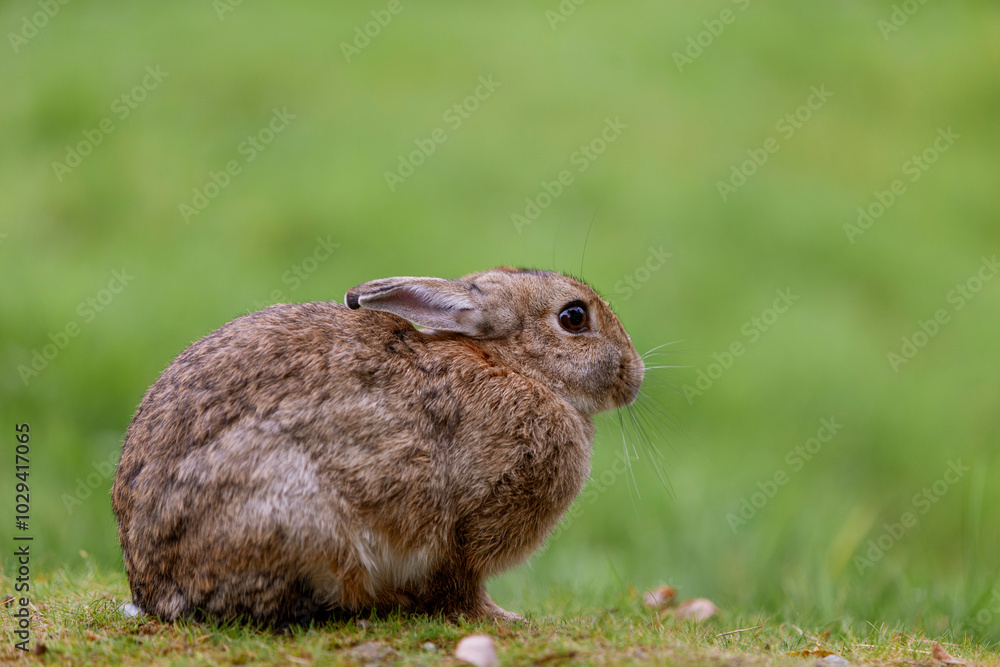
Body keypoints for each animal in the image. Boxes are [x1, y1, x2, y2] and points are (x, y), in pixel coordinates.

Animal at [111, 266, 644, 626]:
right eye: (573, 318)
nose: (635, 376)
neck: (513, 367)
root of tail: (152, 590)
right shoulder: (463, 527)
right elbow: (461, 585)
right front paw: (502, 618)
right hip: (297, 516)